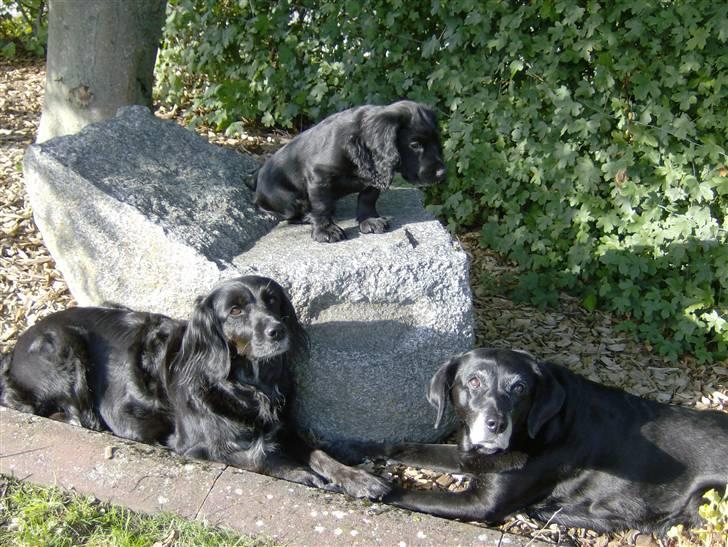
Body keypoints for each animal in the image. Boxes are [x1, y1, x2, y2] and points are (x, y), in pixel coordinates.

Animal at [1, 276, 386, 498]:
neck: (245, 385)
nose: (278, 330)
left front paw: (359, 478)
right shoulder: (198, 445)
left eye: (273, 300)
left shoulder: (281, 426)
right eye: (235, 311)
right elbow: (260, 457)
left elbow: (318, 453)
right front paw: (307, 476)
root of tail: (15, 348)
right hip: (64, 347)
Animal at [253, 100, 446, 242]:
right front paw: (325, 230)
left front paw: (369, 219)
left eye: (437, 141)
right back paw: (308, 216)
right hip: (290, 200)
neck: (357, 142)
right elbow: (321, 205)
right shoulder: (319, 176)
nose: (442, 173)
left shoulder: (374, 176)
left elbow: (368, 198)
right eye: (415, 145)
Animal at [362, 348, 728, 532]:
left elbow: (406, 493)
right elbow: (403, 446)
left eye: (519, 388)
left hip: (706, 497)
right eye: (474, 382)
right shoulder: (470, 455)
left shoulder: (481, 503)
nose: (495, 425)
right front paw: (354, 451)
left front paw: (363, 484)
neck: (541, 428)